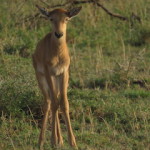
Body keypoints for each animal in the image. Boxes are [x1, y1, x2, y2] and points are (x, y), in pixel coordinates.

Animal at [32, 4, 82, 149]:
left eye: (66, 19)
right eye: (51, 18)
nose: (59, 34)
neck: (58, 54)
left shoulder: (64, 73)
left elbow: (64, 104)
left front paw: (72, 143)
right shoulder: (49, 73)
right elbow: (54, 104)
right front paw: (53, 140)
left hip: (56, 80)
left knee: (56, 100)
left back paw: (60, 140)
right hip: (42, 79)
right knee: (48, 102)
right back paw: (42, 141)